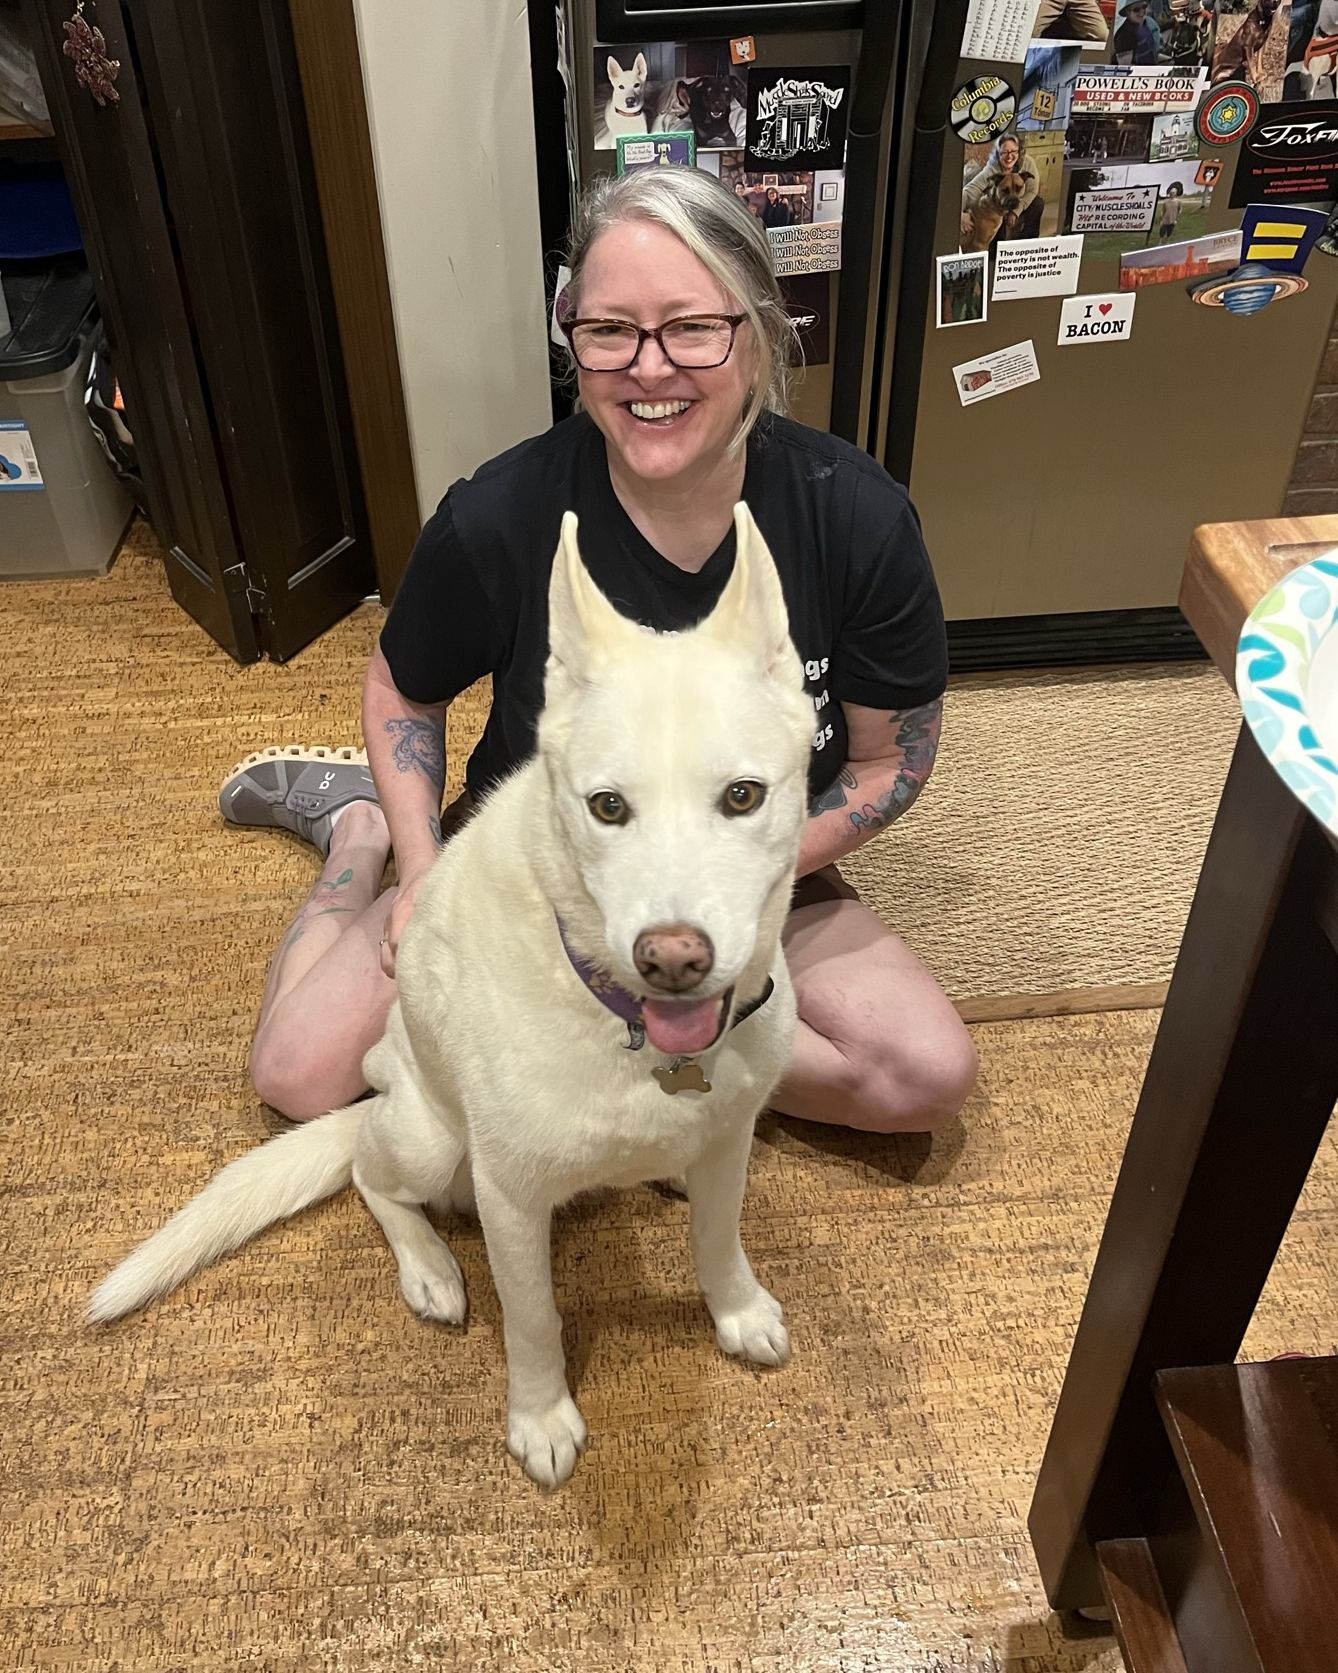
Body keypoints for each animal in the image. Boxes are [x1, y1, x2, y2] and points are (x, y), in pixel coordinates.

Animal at [91, 505, 816, 1492]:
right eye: (607, 806)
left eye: (743, 796)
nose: (672, 958)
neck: (624, 1024)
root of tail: (381, 1084)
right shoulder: (513, 1200)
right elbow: (535, 1317)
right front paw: (540, 1415)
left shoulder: (729, 1138)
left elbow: (719, 1235)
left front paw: (737, 1311)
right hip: (431, 1140)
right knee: (371, 1172)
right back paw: (429, 1266)